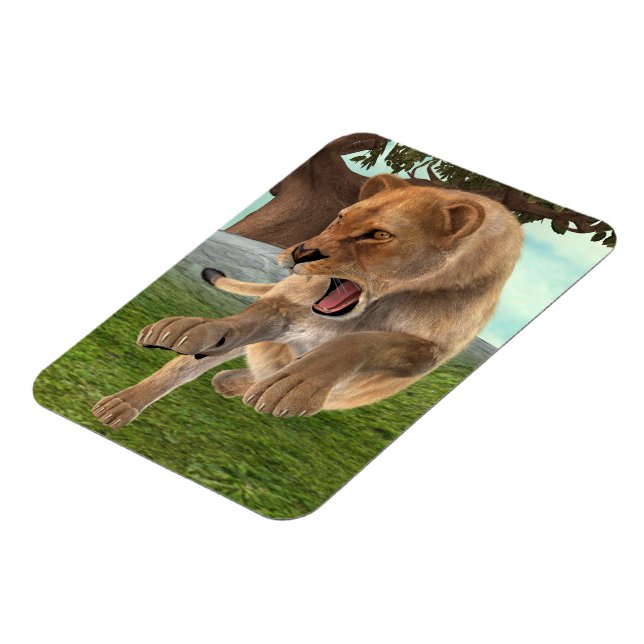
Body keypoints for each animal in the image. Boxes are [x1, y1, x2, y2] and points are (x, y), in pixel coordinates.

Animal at [92, 174, 523, 427]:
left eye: (379, 235)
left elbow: (359, 342)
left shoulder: (424, 354)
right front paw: (191, 331)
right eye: (340, 217)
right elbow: (239, 324)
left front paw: (291, 386)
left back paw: (239, 382)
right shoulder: (288, 310)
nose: (301, 252)